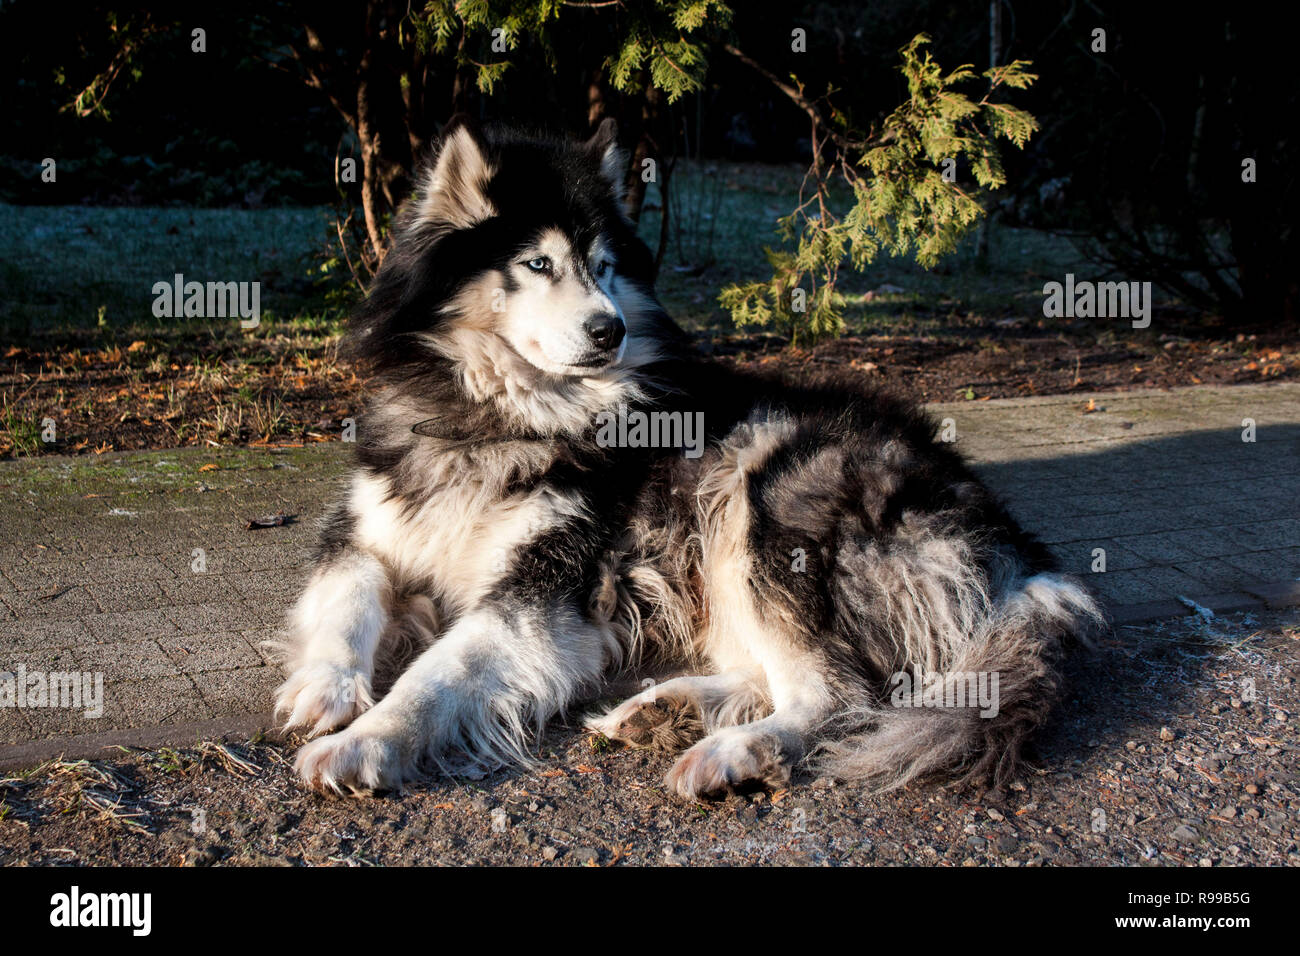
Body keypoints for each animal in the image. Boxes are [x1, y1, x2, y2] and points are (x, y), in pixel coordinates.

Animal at [271, 113, 1097, 801]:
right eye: (537, 264)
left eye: (604, 265)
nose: (610, 330)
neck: (497, 414)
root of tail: (1018, 552)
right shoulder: (369, 529)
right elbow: (346, 595)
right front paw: (326, 688)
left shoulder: (539, 593)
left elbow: (434, 672)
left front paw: (365, 742)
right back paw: (665, 710)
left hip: (763, 495)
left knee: (835, 696)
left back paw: (735, 751)